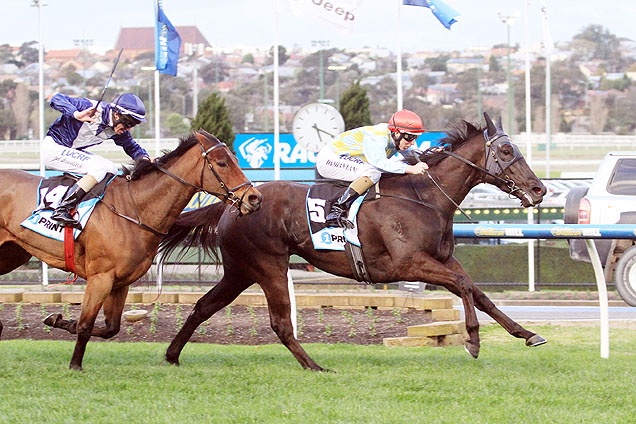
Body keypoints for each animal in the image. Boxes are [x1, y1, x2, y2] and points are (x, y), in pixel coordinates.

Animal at [0, 130, 262, 372]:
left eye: (236, 159)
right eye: (222, 163)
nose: (254, 197)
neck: (133, 208)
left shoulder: (120, 283)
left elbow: (110, 328)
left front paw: (60, 320)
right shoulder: (100, 278)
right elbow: (86, 325)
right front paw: (75, 365)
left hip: (13, 254)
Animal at [159, 114, 548, 370]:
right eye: (507, 151)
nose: (539, 189)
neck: (423, 197)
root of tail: (235, 202)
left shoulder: (442, 260)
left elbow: (478, 292)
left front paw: (527, 334)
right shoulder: (409, 263)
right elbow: (466, 287)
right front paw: (473, 341)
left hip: (240, 270)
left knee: (203, 306)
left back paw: (172, 355)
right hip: (268, 265)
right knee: (280, 322)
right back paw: (314, 366)